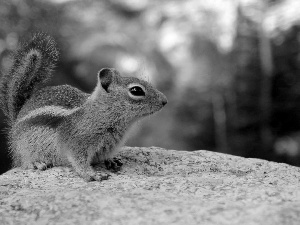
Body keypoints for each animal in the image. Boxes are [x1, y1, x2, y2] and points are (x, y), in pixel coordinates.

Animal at [0, 33, 166, 181]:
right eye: (136, 90)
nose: (165, 101)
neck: (100, 112)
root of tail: (15, 122)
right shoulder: (77, 142)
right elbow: (78, 161)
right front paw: (91, 174)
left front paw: (111, 161)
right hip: (23, 148)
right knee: (23, 161)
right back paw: (35, 163)